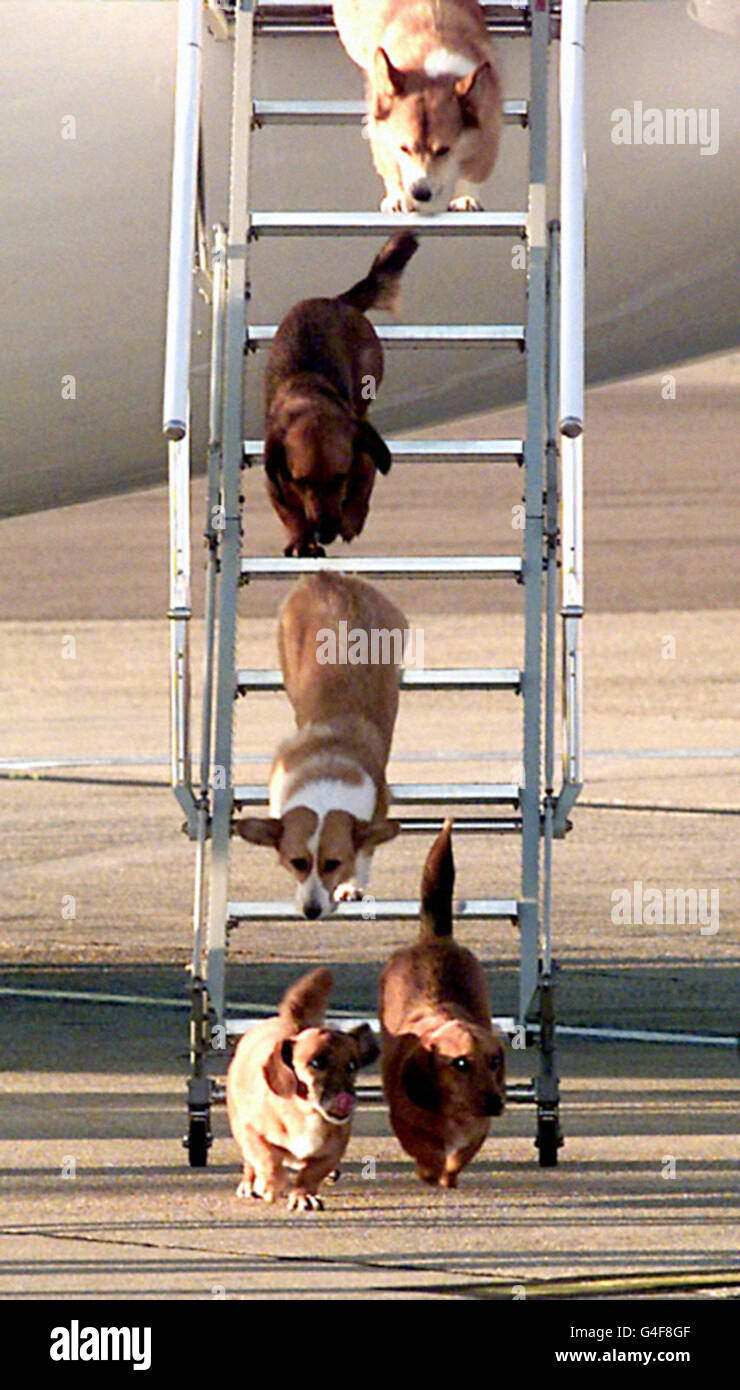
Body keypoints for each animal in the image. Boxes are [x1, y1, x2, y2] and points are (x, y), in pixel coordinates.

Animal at [236, 569, 408, 917]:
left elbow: (365, 850)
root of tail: (327, 577)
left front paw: (351, 886)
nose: (312, 911)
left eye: (333, 864)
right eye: (297, 862)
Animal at [333, 0, 503, 214]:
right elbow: (391, 167)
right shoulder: (381, 130)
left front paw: (465, 198)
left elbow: (475, 171)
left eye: (443, 150)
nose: (420, 194)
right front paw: (398, 198)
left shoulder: (489, 124)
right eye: (404, 148)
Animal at [378, 817, 506, 1189]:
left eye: (495, 1062)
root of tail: (434, 937)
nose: (496, 1102)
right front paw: (431, 1172)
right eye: (460, 1063)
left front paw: (448, 1177)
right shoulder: (406, 1125)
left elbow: (458, 1156)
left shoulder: (475, 1132)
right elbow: (427, 1151)